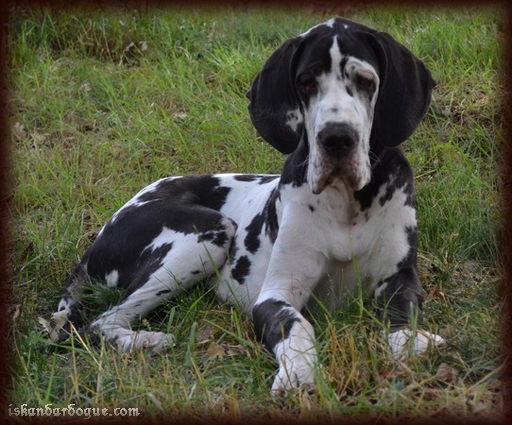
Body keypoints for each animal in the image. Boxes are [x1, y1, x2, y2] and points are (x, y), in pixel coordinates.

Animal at [52, 17, 445, 392]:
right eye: (306, 82)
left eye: (365, 80)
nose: (336, 138)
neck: (347, 202)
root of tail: (100, 236)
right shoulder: (275, 296)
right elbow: (298, 328)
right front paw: (299, 373)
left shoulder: (400, 279)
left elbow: (404, 315)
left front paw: (412, 344)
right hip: (209, 230)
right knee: (100, 322)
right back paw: (145, 340)